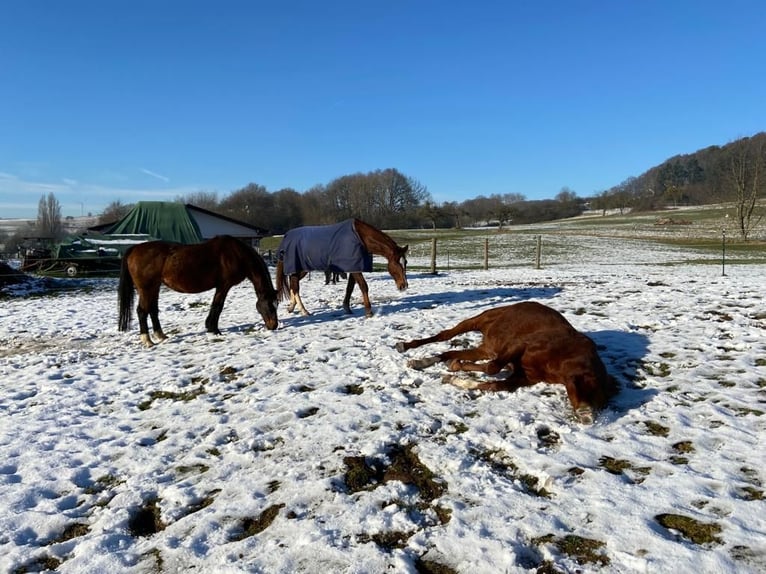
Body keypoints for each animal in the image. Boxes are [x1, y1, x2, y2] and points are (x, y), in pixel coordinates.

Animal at [118, 235, 279, 348]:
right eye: (270, 306)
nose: (274, 326)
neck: (236, 254)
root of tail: (134, 249)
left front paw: (211, 328)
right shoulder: (224, 286)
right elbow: (217, 306)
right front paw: (214, 329)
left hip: (154, 287)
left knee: (152, 310)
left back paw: (161, 336)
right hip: (146, 289)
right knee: (142, 311)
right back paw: (147, 341)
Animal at [275, 219, 408, 317]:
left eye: (405, 262)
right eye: (397, 264)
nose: (404, 286)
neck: (360, 237)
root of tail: (287, 237)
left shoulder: (354, 267)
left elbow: (350, 288)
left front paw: (347, 308)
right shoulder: (355, 269)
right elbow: (364, 286)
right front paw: (369, 312)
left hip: (301, 269)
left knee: (293, 284)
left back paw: (291, 307)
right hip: (300, 268)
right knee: (295, 286)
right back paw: (304, 311)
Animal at [395, 301, 617, 423]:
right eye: (588, 388)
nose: (588, 419)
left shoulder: (524, 377)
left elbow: (492, 384)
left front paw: (453, 377)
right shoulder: (517, 346)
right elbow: (492, 368)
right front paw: (456, 369)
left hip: (483, 348)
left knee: (449, 351)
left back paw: (421, 362)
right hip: (476, 321)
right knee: (444, 335)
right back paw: (406, 347)